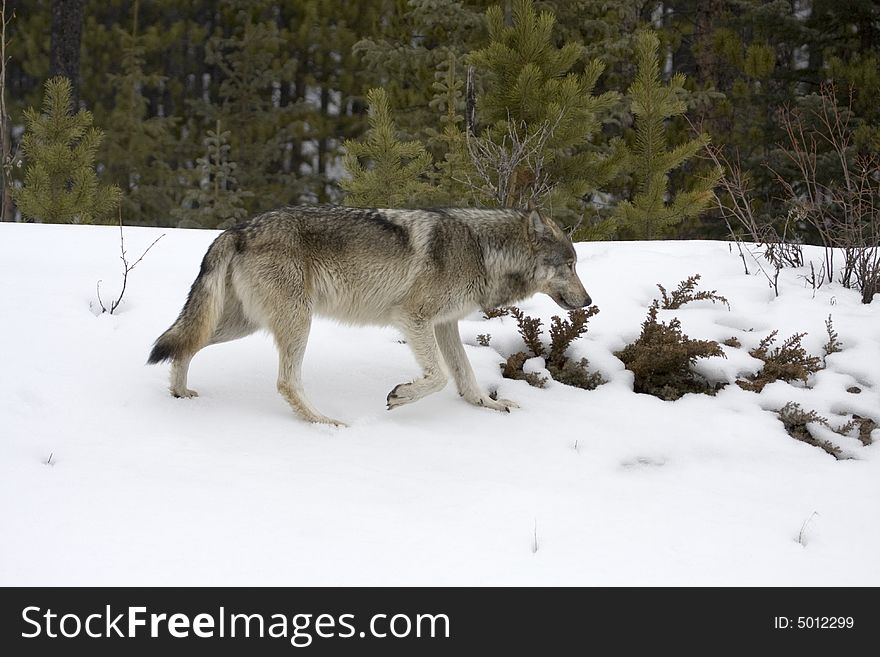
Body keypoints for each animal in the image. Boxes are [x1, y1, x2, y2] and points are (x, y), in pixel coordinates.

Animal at [150, 205, 592, 426]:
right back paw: (324, 422)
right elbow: (438, 377)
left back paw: (179, 395)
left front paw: (487, 405)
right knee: (286, 381)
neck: (483, 249)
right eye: (569, 266)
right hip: (296, 322)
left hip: (241, 324)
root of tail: (237, 230)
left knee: (184, 345)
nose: (588, 300)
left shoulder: (444, 324)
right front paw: (401, 396)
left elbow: (464, 377)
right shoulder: (413, 317)